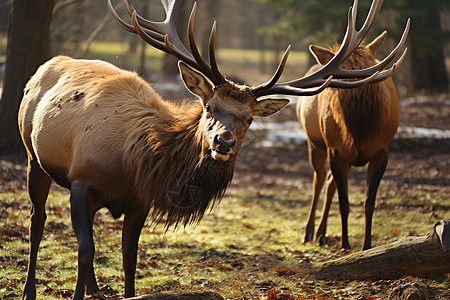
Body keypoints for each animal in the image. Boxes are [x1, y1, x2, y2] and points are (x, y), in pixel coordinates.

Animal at [298, 0, 412, 250]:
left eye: (370, 64)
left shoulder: (382, 150)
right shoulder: (335, 149)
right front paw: (346, 243)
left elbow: (369, 201)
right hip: (315, 143)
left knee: (329, 181)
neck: (358, 133)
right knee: (318, 179)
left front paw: (367, 244)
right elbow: (344, 202)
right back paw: (309, 232)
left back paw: (322, 234)